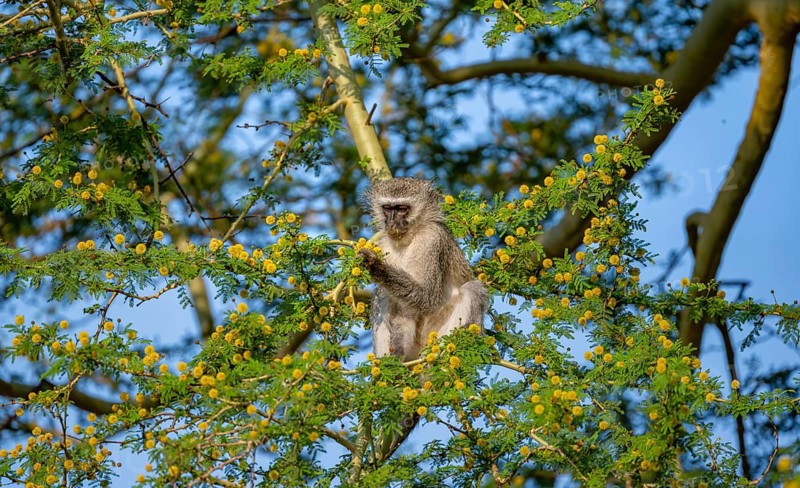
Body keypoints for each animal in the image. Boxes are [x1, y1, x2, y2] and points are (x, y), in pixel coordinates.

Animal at [359, 178, 488, 360]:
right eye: (388, 208)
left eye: (402, 209)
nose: (391, 223)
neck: (410, 237)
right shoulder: (383, 245)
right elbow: (403, 306)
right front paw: (396, 352)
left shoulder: (432, 240)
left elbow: (427, 297)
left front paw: (376, 266)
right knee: (382, 294)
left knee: (472, 289)